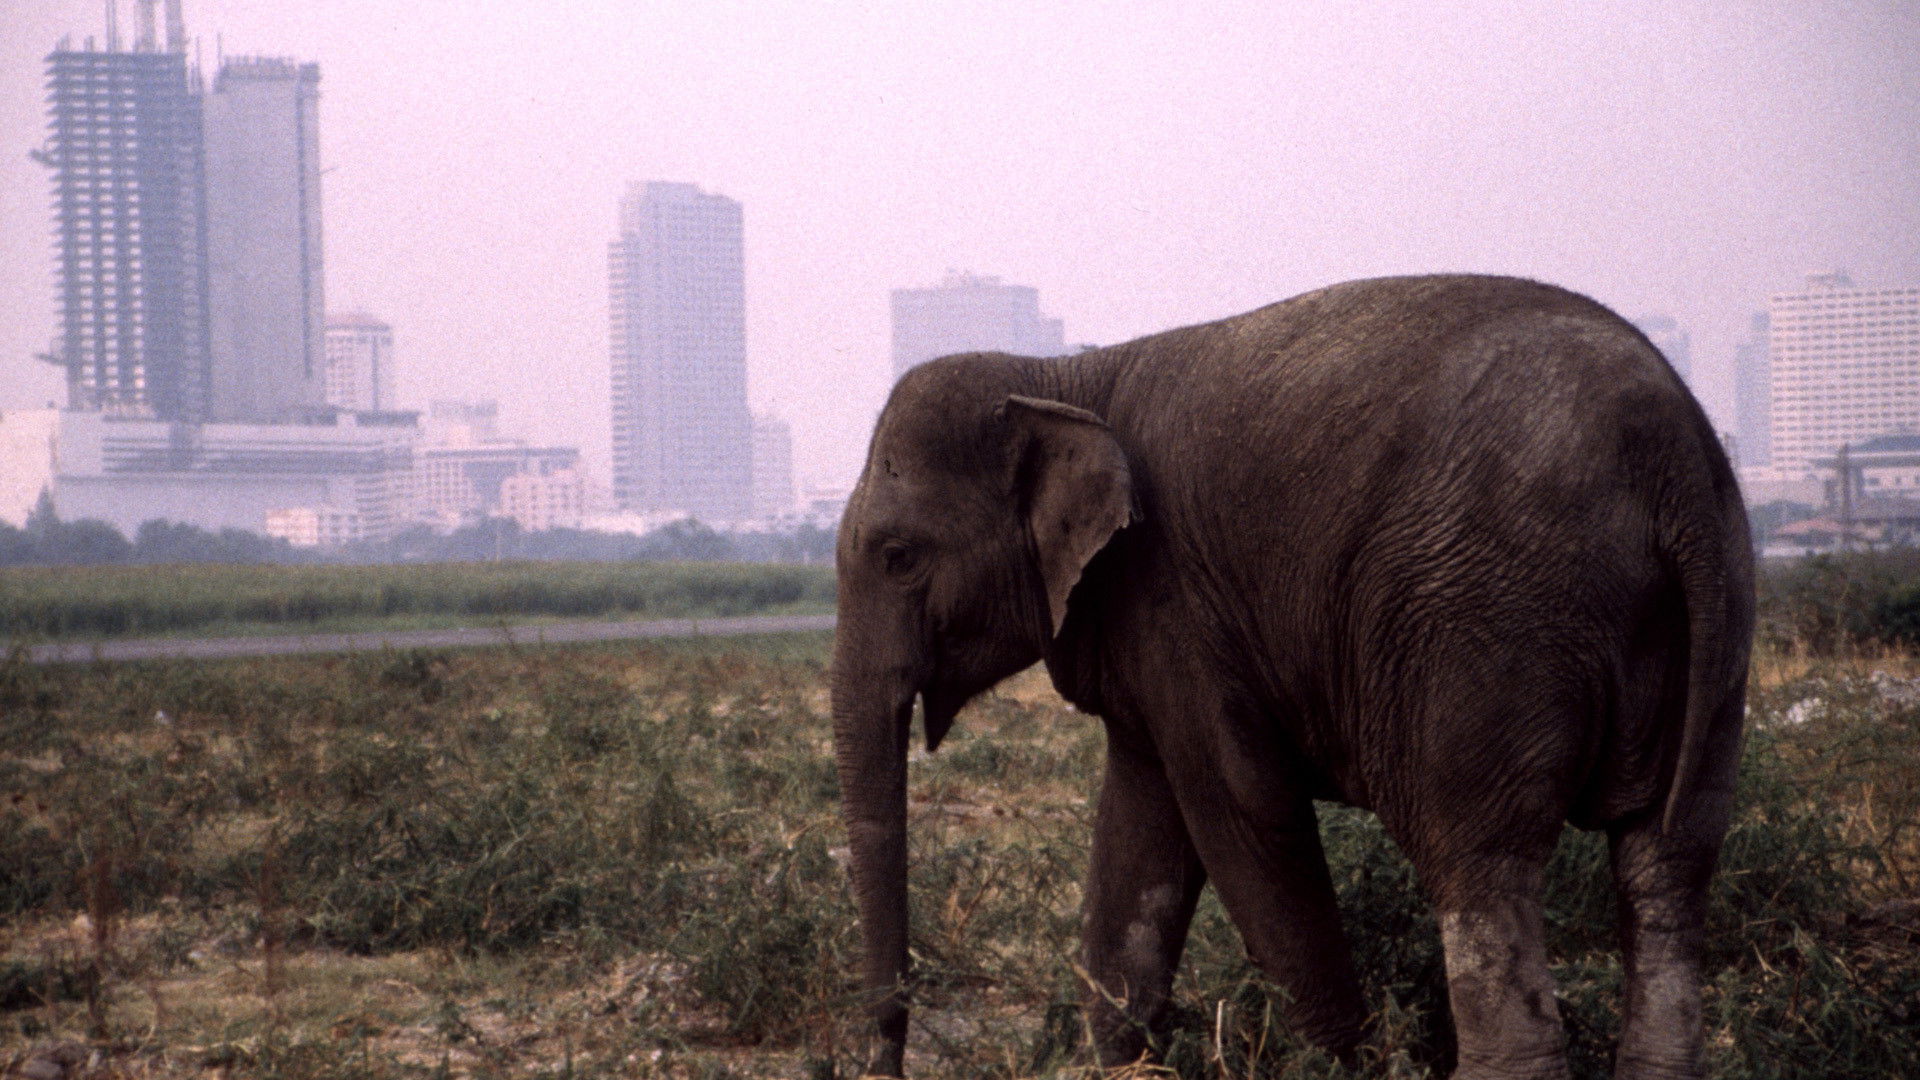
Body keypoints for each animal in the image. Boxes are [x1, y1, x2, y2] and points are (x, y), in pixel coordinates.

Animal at [831, 274, 1752, 1079]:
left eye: (899, 557)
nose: (887, 1058)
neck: (1057, 379)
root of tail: (1667, 453)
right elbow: (1142, 824)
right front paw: (1126, 1063)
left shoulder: (1172, 597)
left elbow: (1245, 812)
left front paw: (1343, 1064)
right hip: (1717, 612)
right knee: (1669, 859)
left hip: (1490, 621)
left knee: (1482, 863)